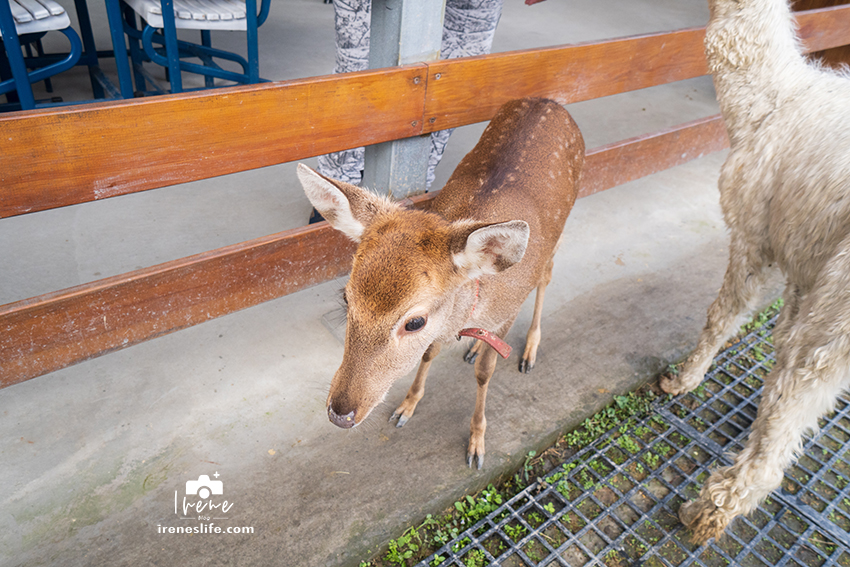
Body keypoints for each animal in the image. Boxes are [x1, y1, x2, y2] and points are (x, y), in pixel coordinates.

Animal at [296, 98, 584, 470]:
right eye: (347, 299)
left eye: (414, 321)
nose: (340, 412)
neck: (475, 301)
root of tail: (552, 102)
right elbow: (430, 352)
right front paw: (406, 407)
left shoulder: (507, 310)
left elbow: (485, 372)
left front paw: (477, 444)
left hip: (559, 229)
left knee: (547, 277)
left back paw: (529, 350)